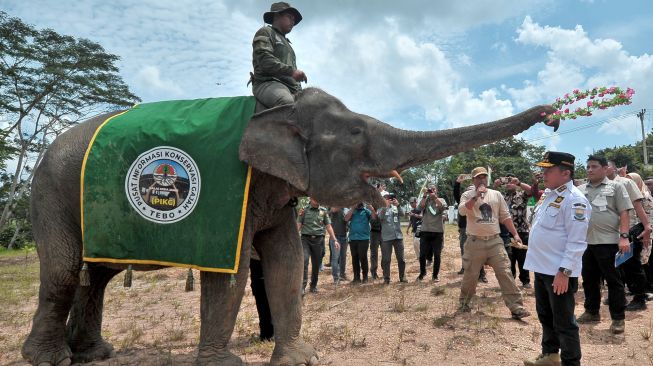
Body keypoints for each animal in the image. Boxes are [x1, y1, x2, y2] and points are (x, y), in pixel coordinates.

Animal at [22, 87, 556, 364]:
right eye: (356, 131)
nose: (551, 115)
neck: (277, 110)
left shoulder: (274, 194)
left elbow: (286, 261)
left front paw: (300, 359)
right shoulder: (231, 191)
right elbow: (236, 270)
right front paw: (224, 365)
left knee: (96, 275)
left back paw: (96, 354)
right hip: (50, 191)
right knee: (66, 271)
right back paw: (50, 359)